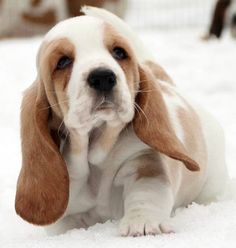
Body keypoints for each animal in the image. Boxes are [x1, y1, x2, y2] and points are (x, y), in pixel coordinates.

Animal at [15, 6, 229, 237]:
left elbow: (146, 193)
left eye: (119, 53)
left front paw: (142, 223)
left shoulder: (144, 161)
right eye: (63, 61)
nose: (102, 77)